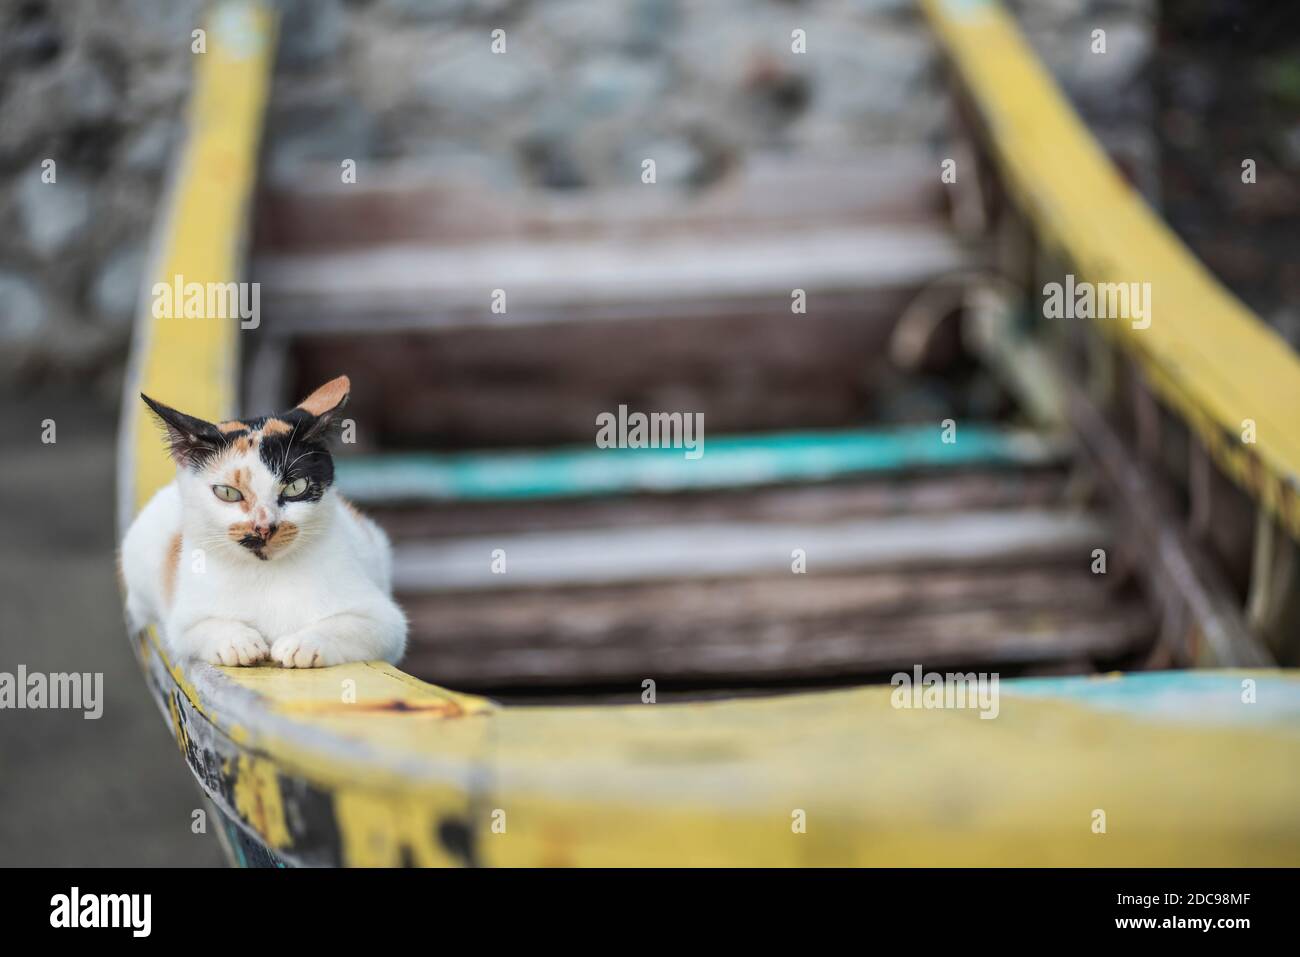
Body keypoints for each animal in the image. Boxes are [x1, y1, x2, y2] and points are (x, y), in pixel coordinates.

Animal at [122, 374, 405, 665]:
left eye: (295, 487)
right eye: (227, 492)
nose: (264, 527)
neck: (266, 574)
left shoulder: (386, 623)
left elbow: (358, 627)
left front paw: (303, 644)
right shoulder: (183, 621)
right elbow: (198, 629)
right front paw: (237, 641)